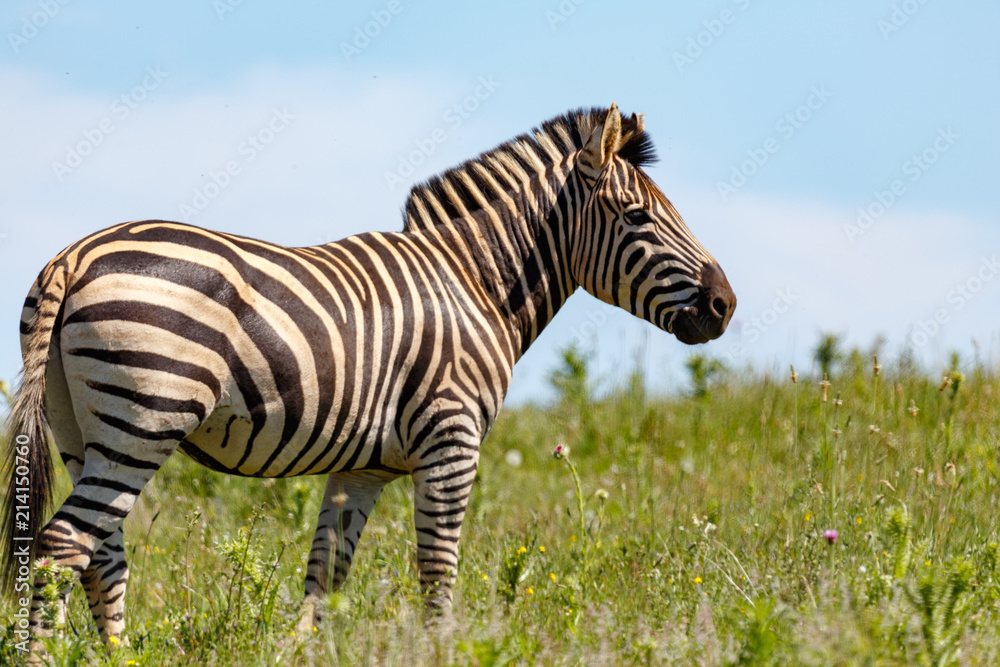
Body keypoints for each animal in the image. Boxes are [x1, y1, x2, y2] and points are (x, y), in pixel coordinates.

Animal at [1, 103, 735, 650]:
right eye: (638, 217)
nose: (725, 304)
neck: (474, 283)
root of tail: (73, 255)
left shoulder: (363, 466)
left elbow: (325, 574)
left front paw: (300, 653)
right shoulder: (451, 441)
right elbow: (437, 569)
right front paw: (441, 651)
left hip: (80, 427)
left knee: (100, 554)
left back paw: (115, 654)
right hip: (145, 416)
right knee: (63, 545)